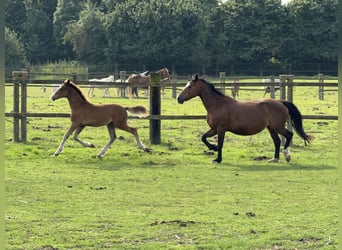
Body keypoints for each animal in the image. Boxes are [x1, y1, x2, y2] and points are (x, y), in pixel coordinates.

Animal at [178, 75, 312, 163]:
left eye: (189, 87)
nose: (179, 99)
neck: (218, 104)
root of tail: (281, 102)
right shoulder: (214, 129)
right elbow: (203, 138)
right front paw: (213, 148)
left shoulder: (221, 129)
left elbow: (220, 144)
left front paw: (217, 158)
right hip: (271, 128)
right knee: (277, 141)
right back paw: (274, 159)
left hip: (277, 126)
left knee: (289, 135)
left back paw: (286, 155)